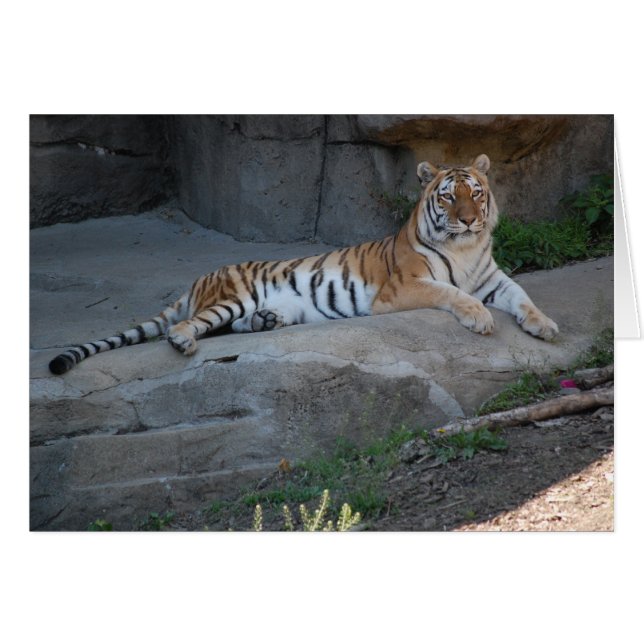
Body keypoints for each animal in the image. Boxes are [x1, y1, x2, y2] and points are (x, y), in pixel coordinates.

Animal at [48, 153, 558, 375]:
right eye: (450, 197)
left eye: (476, 192)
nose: (470, 220)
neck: (466, 248)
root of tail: (198, 279)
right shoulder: (404, 287)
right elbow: (452, 293)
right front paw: (480, 319)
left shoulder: (494, 279)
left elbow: (523, 296)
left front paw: (545, 326)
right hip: (228, 299)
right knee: (189, 325)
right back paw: (185, 342)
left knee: (232, 326)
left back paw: (266, 322)